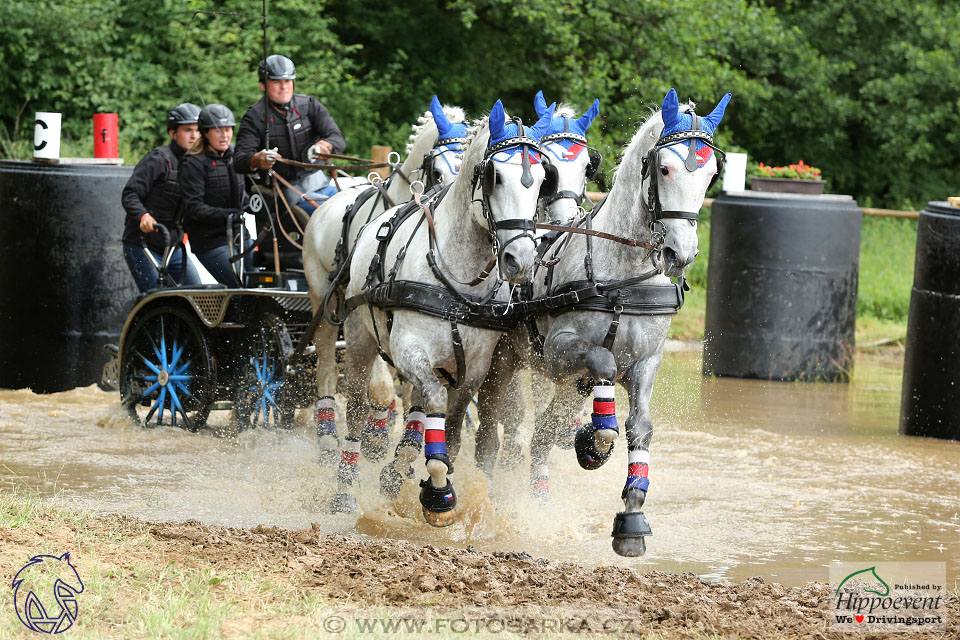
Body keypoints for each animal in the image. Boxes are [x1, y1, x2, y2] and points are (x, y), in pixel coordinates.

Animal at [300, 96, 464, 464]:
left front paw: (394, 436)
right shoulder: (366, 308)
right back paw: (328, 434)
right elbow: (380, 385)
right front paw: (376, 434)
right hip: (324, 297)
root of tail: (323, 204)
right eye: (437, 171)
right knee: (326, 355)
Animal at [340, 100, 556, 520]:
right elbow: (436, 406)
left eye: (542, 180)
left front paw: (431, 478)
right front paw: (439, 492)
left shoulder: (474, 368)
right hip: (359, 339)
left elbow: (453, 431)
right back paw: (343, 487)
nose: (521, 260)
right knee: (357, 410)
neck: (459, 279)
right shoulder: (409, 350)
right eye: (494, 176)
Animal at [476, 89, 732, 556]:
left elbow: (640, 429)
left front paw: (632, 518)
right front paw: (594, 442)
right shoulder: (559, 352)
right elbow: (604, 364)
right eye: (664, 169)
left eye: (710, 176)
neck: (624, 276)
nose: (682, 253)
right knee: (494, 431)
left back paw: (539, 498)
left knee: (541, 436)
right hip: (506, 367)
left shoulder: (646, 362)